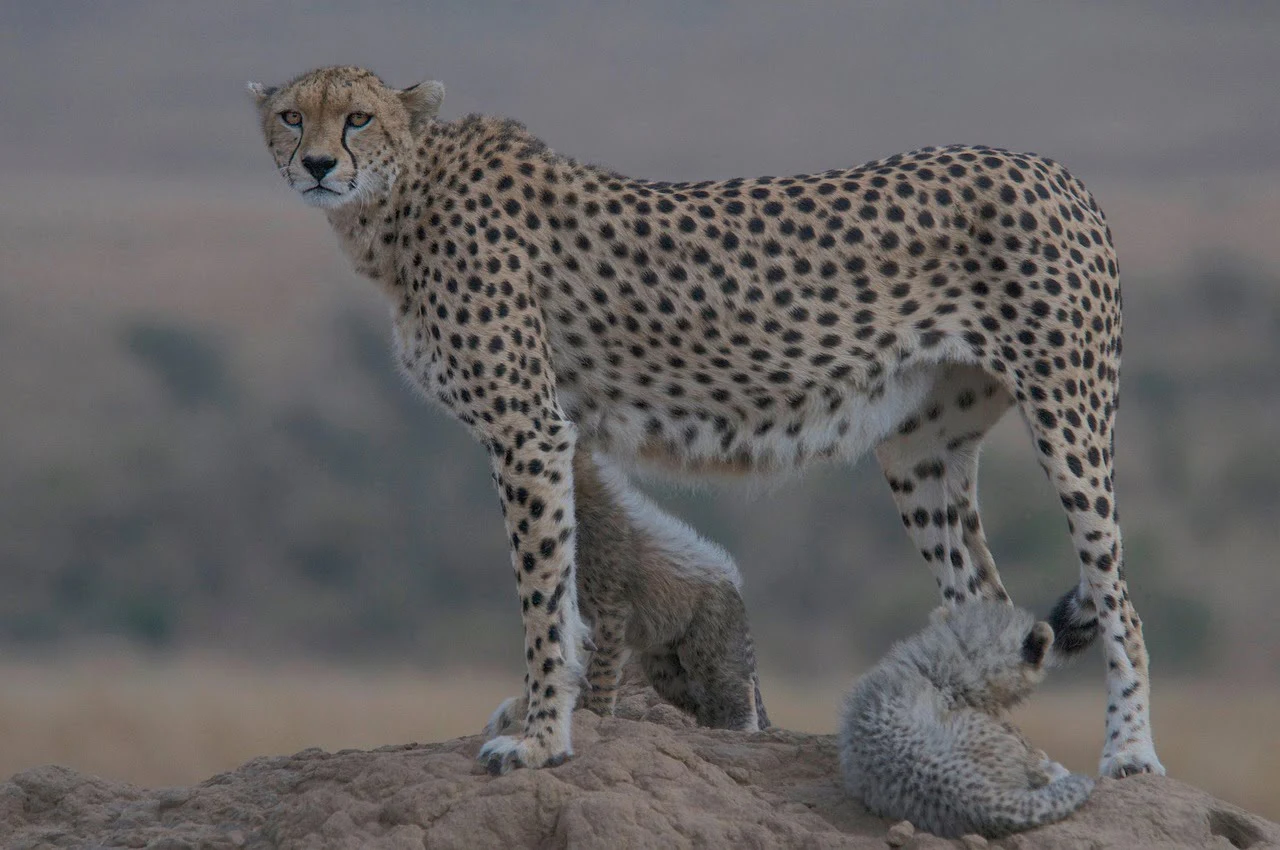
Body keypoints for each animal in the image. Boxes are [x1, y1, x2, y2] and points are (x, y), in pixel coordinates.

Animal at [248, 64, 1164, 779]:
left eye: (358, 116)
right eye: (292, 115)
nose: (319, 163)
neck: (400, 200)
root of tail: (1051, 167)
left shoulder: (528, 429)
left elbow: (544, 599)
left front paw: (541, 740)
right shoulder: (547, 436)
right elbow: (567, 597)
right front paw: (543, 720)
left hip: (1070, 418)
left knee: (1121, 603)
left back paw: (1128, 755)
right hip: (918, 446)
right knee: (986, 598)